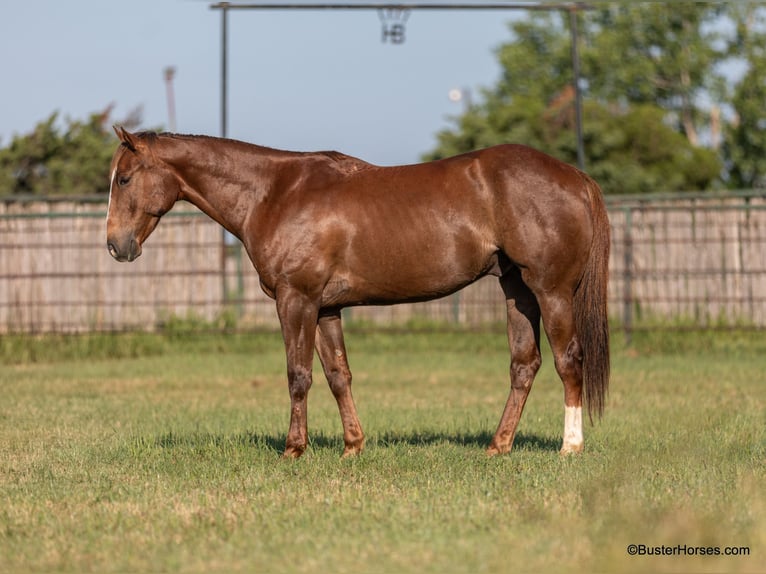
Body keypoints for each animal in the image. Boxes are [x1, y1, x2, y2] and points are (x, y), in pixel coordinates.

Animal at [108, 129, 612, 460]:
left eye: (125, 178)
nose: (116, 245)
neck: (273, 193)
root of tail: (575, 177)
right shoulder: (326, 307)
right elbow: (338, 376)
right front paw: (353, 447)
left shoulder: (296, 300)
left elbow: (298, 375)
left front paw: (293, 450)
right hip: (517, 291)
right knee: (524, 365)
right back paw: (498, 446)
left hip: (551, 290)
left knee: (569, 361)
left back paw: (570, 447)